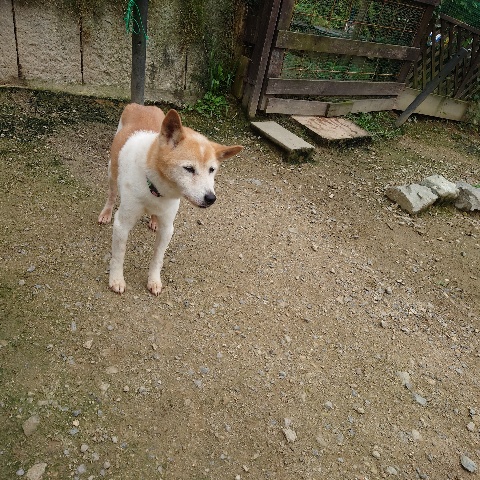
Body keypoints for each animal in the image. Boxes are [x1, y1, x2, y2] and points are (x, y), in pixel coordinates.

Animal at [98, 103, 242, 295]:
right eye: (189, 169)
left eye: (212, 170)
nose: (211, 198)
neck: (156, 188)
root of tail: (141, 105)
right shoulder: (122, 224)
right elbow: (118, 256)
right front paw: (116, 279)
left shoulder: (167, 228)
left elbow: (157, 259)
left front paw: (154, 280)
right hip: (111, 173)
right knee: (112, 194)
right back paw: (106, 213)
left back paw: (153, 220)